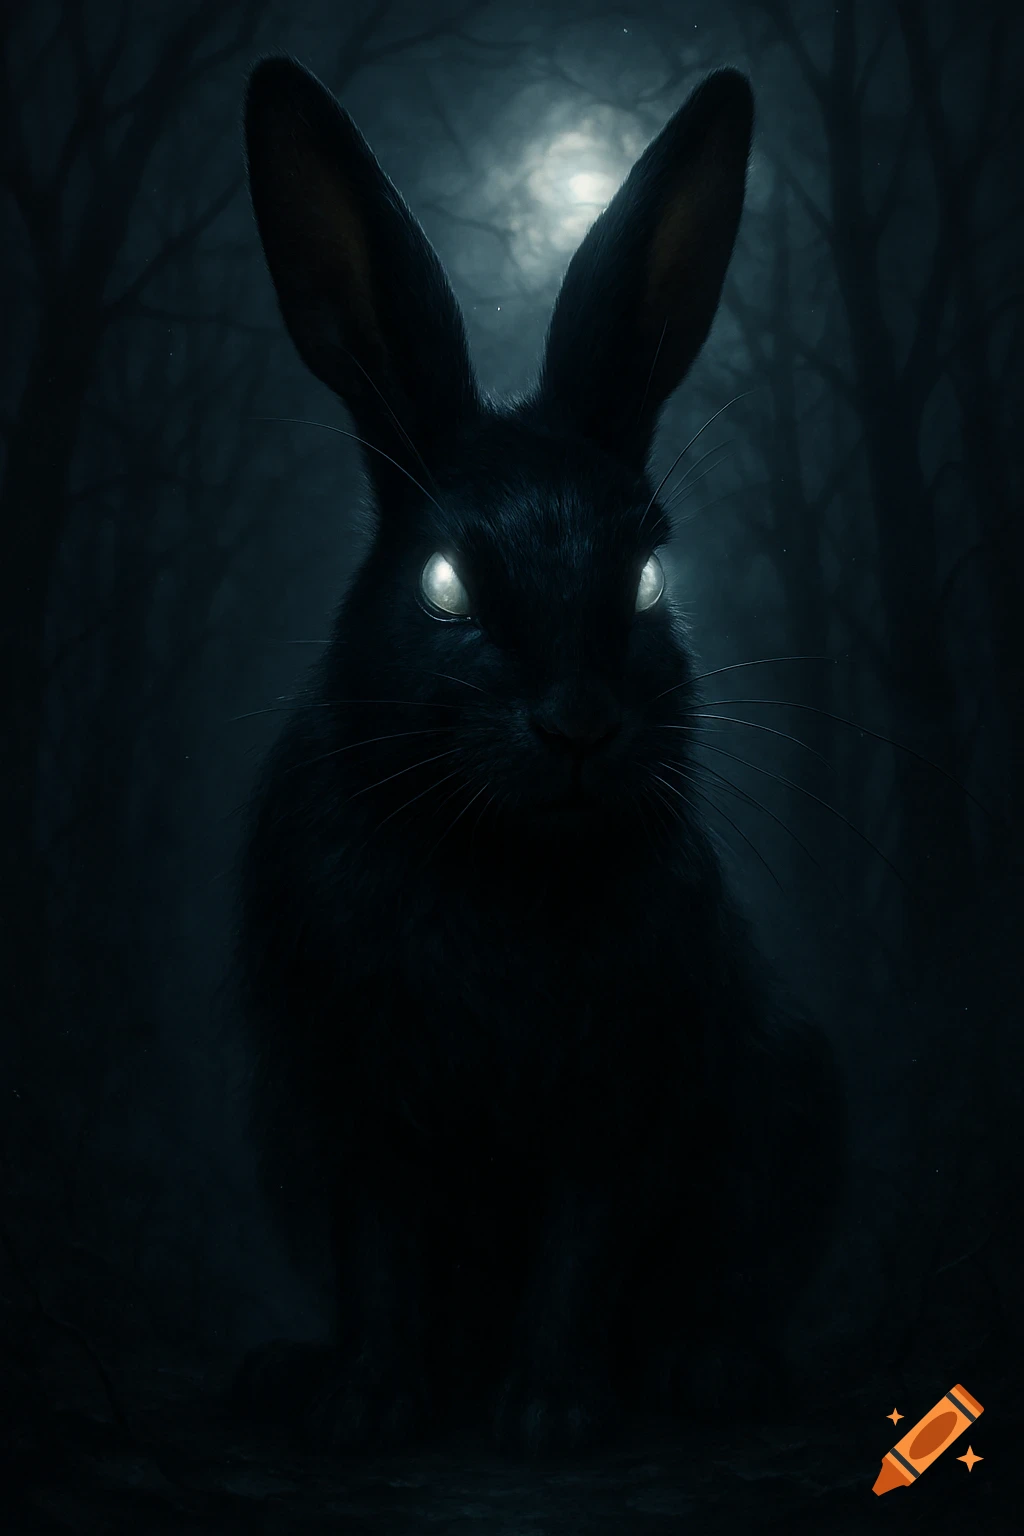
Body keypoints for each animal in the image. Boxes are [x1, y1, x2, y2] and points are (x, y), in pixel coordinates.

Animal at [233, 55, 845, 1457]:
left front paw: (555, 1417)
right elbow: (377, 1254)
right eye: (445, 583)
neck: (500, 864)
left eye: (650, 573)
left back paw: (705, 1372)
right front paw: (368, 1407)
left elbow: (581, 1250)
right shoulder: (354, 1097)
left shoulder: (617, 1097)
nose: (577, 723)